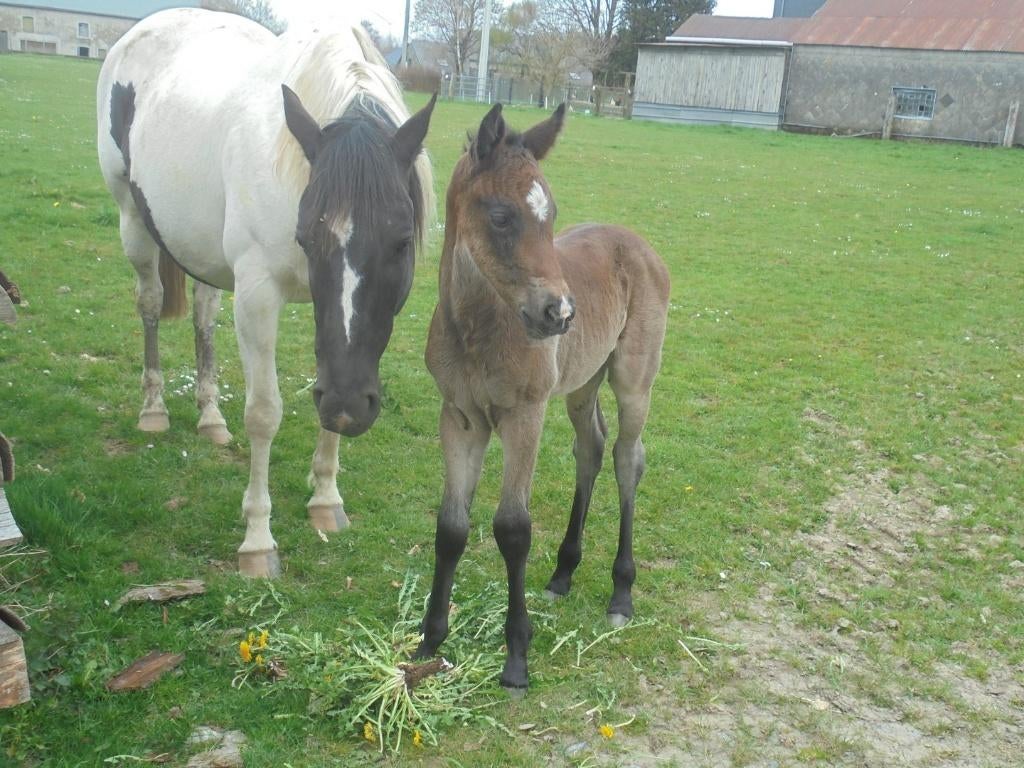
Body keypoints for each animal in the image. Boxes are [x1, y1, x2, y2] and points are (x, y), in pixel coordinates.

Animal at [96, 9, 435, 577]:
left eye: (402, 241)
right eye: (306, 238)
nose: (351, 406)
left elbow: (330, 386)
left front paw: (326, 499)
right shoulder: (257, 295)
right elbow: (263, 413)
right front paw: (257, 538)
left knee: (204, 316)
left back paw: (210, 415)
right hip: (133, 224)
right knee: (149, 305)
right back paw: (154, 409)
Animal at [414, 103, 670, 692]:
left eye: (552, 215)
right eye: (501, 215)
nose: (560, 313)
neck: (478, 330)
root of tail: (638, 243)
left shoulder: (524, 415)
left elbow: (512, 528)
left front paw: (516, 657)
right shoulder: (459, 417)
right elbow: (451, 527)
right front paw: (429, 640)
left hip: (633, 380)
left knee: (627, 457)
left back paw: (621, 591)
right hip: (580, 383)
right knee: (590, 448)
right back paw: (563, 571)